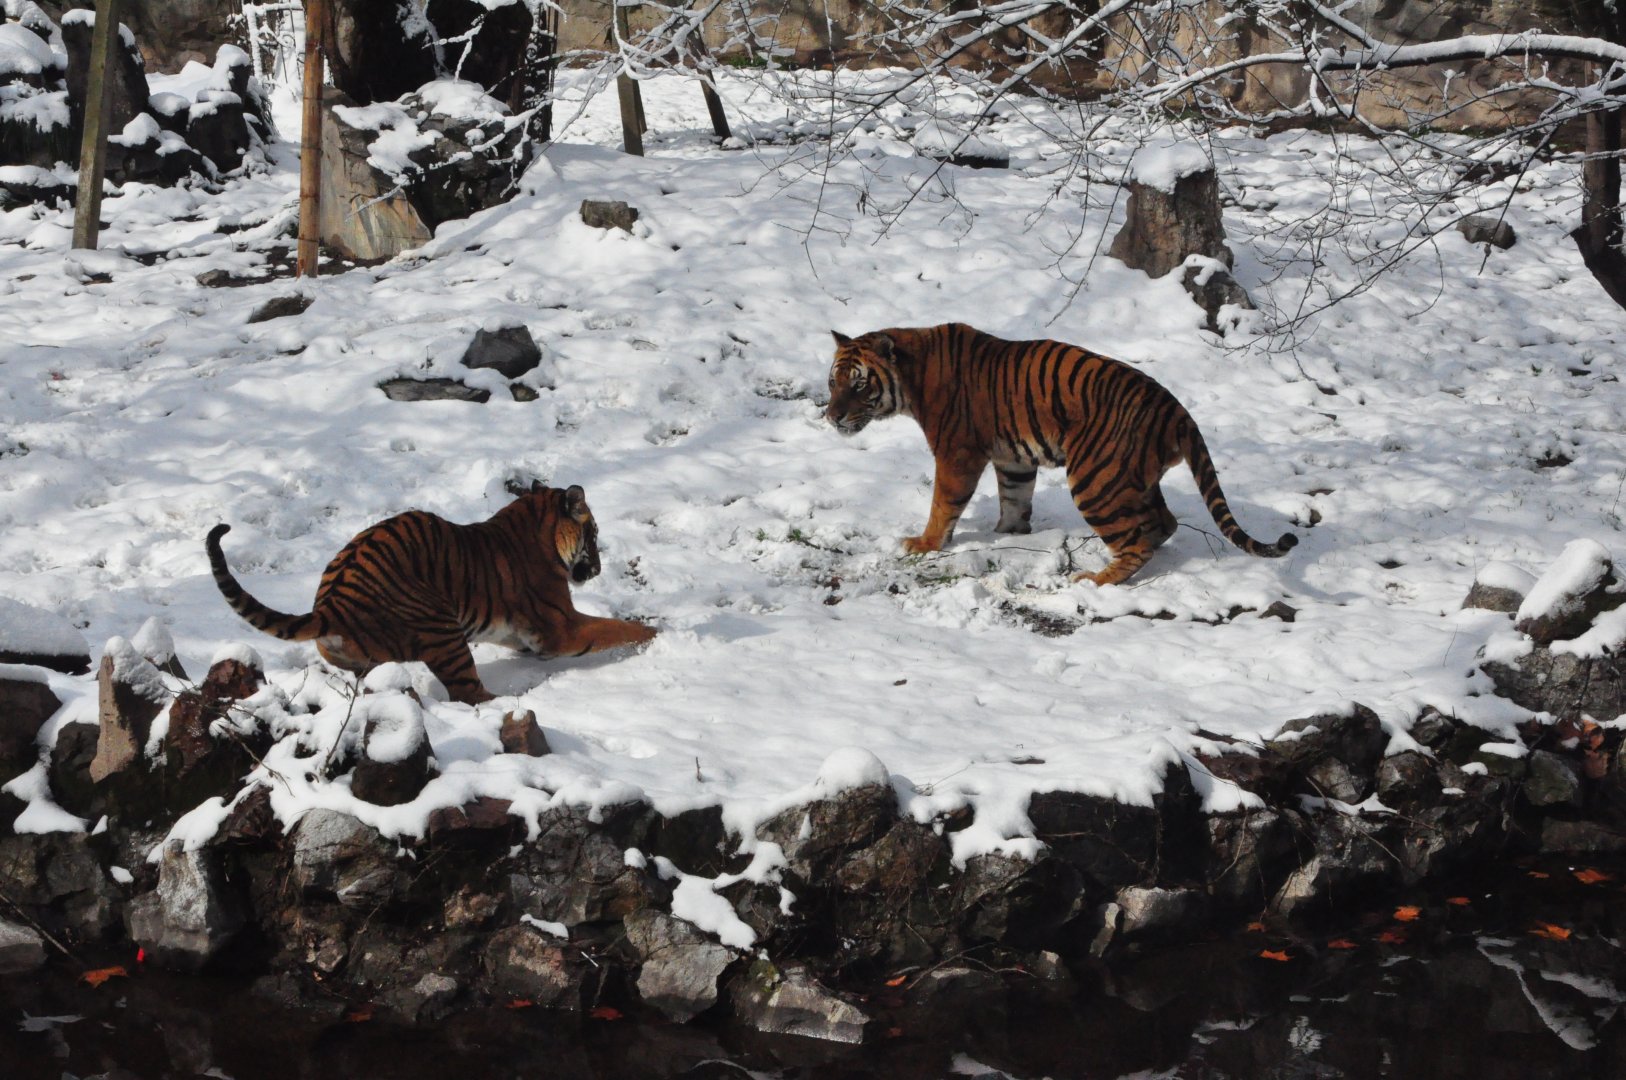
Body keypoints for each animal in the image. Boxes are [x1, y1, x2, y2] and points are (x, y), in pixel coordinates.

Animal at [206, 482, 655, 705]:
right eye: (592, 532)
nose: (597, 569)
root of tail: (331, 604)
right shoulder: (562, 628)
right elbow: (616, 628)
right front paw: (654, 637)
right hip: (443, 627)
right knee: (471, 694)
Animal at [825, 323, 1296, 586]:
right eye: (834, 382)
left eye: (860, 385)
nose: (830, 416)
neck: (912, 377)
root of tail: (1174, 408)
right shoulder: (1013, 459)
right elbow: (1014, 499)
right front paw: (1009, 535)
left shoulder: (957, 453)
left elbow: (943, 504)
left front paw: (923, 544)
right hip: (1131, 477)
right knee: (1162, 524)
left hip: (1095, 478)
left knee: (1136, 542)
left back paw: (1095, 580)